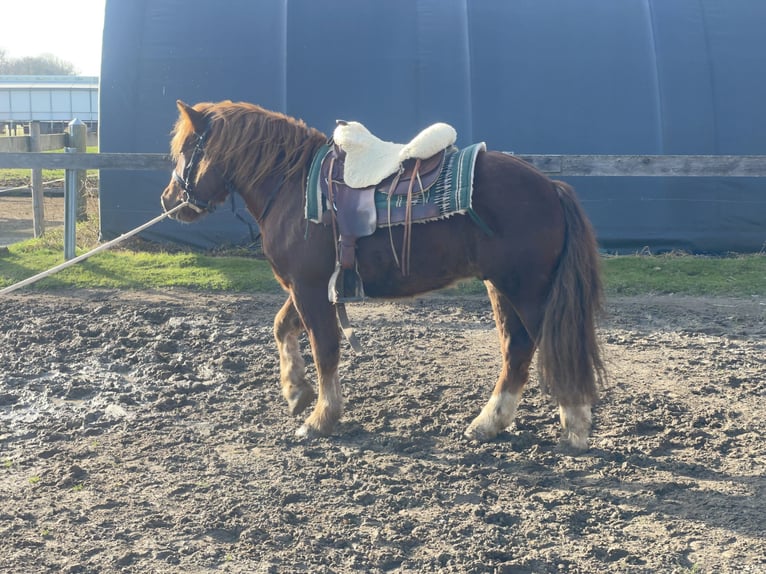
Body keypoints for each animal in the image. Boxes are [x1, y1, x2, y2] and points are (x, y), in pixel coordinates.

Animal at [160, 101, 608, 452]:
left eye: (187, 148)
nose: (169, 200)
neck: (292, 186)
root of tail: (551, 186)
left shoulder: (310, 287)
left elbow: (325, 350)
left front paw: (320, 419)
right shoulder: (310, 287)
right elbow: (282, 326)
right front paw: (296, 392)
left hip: (527, 290)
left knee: (546, 345)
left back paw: (575, 427)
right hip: (501, 287)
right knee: (517, 349)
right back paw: (488, 424)